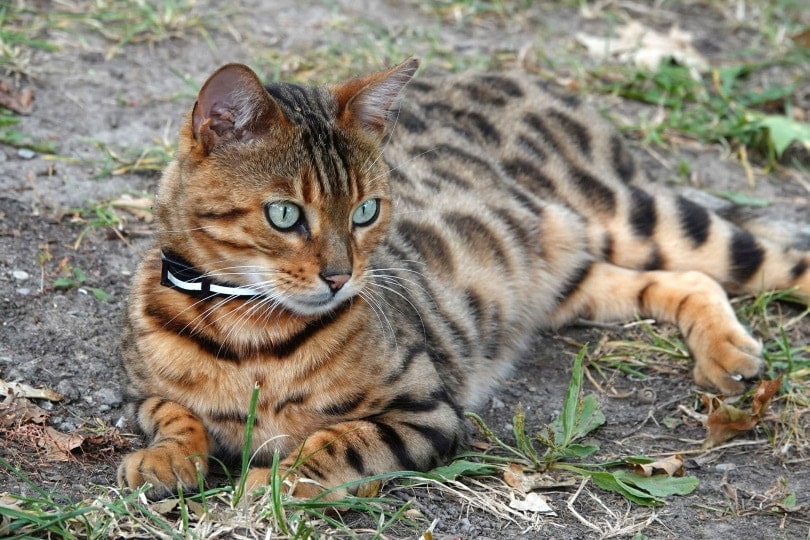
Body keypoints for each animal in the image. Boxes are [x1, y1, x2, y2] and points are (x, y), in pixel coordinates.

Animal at [115, 58, 808, 498]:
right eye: (284, 214)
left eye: (365, 211)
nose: (341, 278)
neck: (246, 329)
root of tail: (526, 75)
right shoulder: (140, 394)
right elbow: (174, 414)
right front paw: (164, 460)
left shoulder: (425, 410)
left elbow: (335, 444)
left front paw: (273, 483)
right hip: (570, 278)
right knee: (685, 280)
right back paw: (724, 353)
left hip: (633, 216)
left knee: (761, 258)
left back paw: (734, 349)